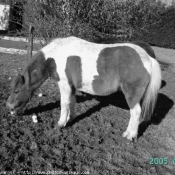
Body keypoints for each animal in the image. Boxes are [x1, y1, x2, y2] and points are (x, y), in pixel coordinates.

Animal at [5, 36, 161, 141]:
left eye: (16, 91)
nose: (8, 106)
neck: (54, 57)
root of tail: (148, 58)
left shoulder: (64, 85)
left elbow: (64, 104)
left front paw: (60, 124)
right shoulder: (72, 86)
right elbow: (72, 102)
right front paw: (70, 118)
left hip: (132, 94)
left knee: (136, 113)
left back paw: (130, 135)